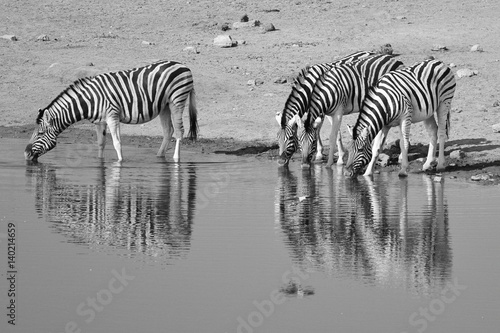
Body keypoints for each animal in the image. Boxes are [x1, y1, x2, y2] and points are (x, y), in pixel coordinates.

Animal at [24, 61, 198, 163]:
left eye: (40, 134)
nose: (25, 155)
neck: (89, 100)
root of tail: (184, 66)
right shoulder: (99, 122)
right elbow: (101, 143)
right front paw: (100, 162)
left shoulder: (112, 116)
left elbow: (117, 143)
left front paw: (120, 163)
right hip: (164, 106)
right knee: (168, 131)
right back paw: (159, 156)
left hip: (177, 100)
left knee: (179, 131)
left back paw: (176, 159)